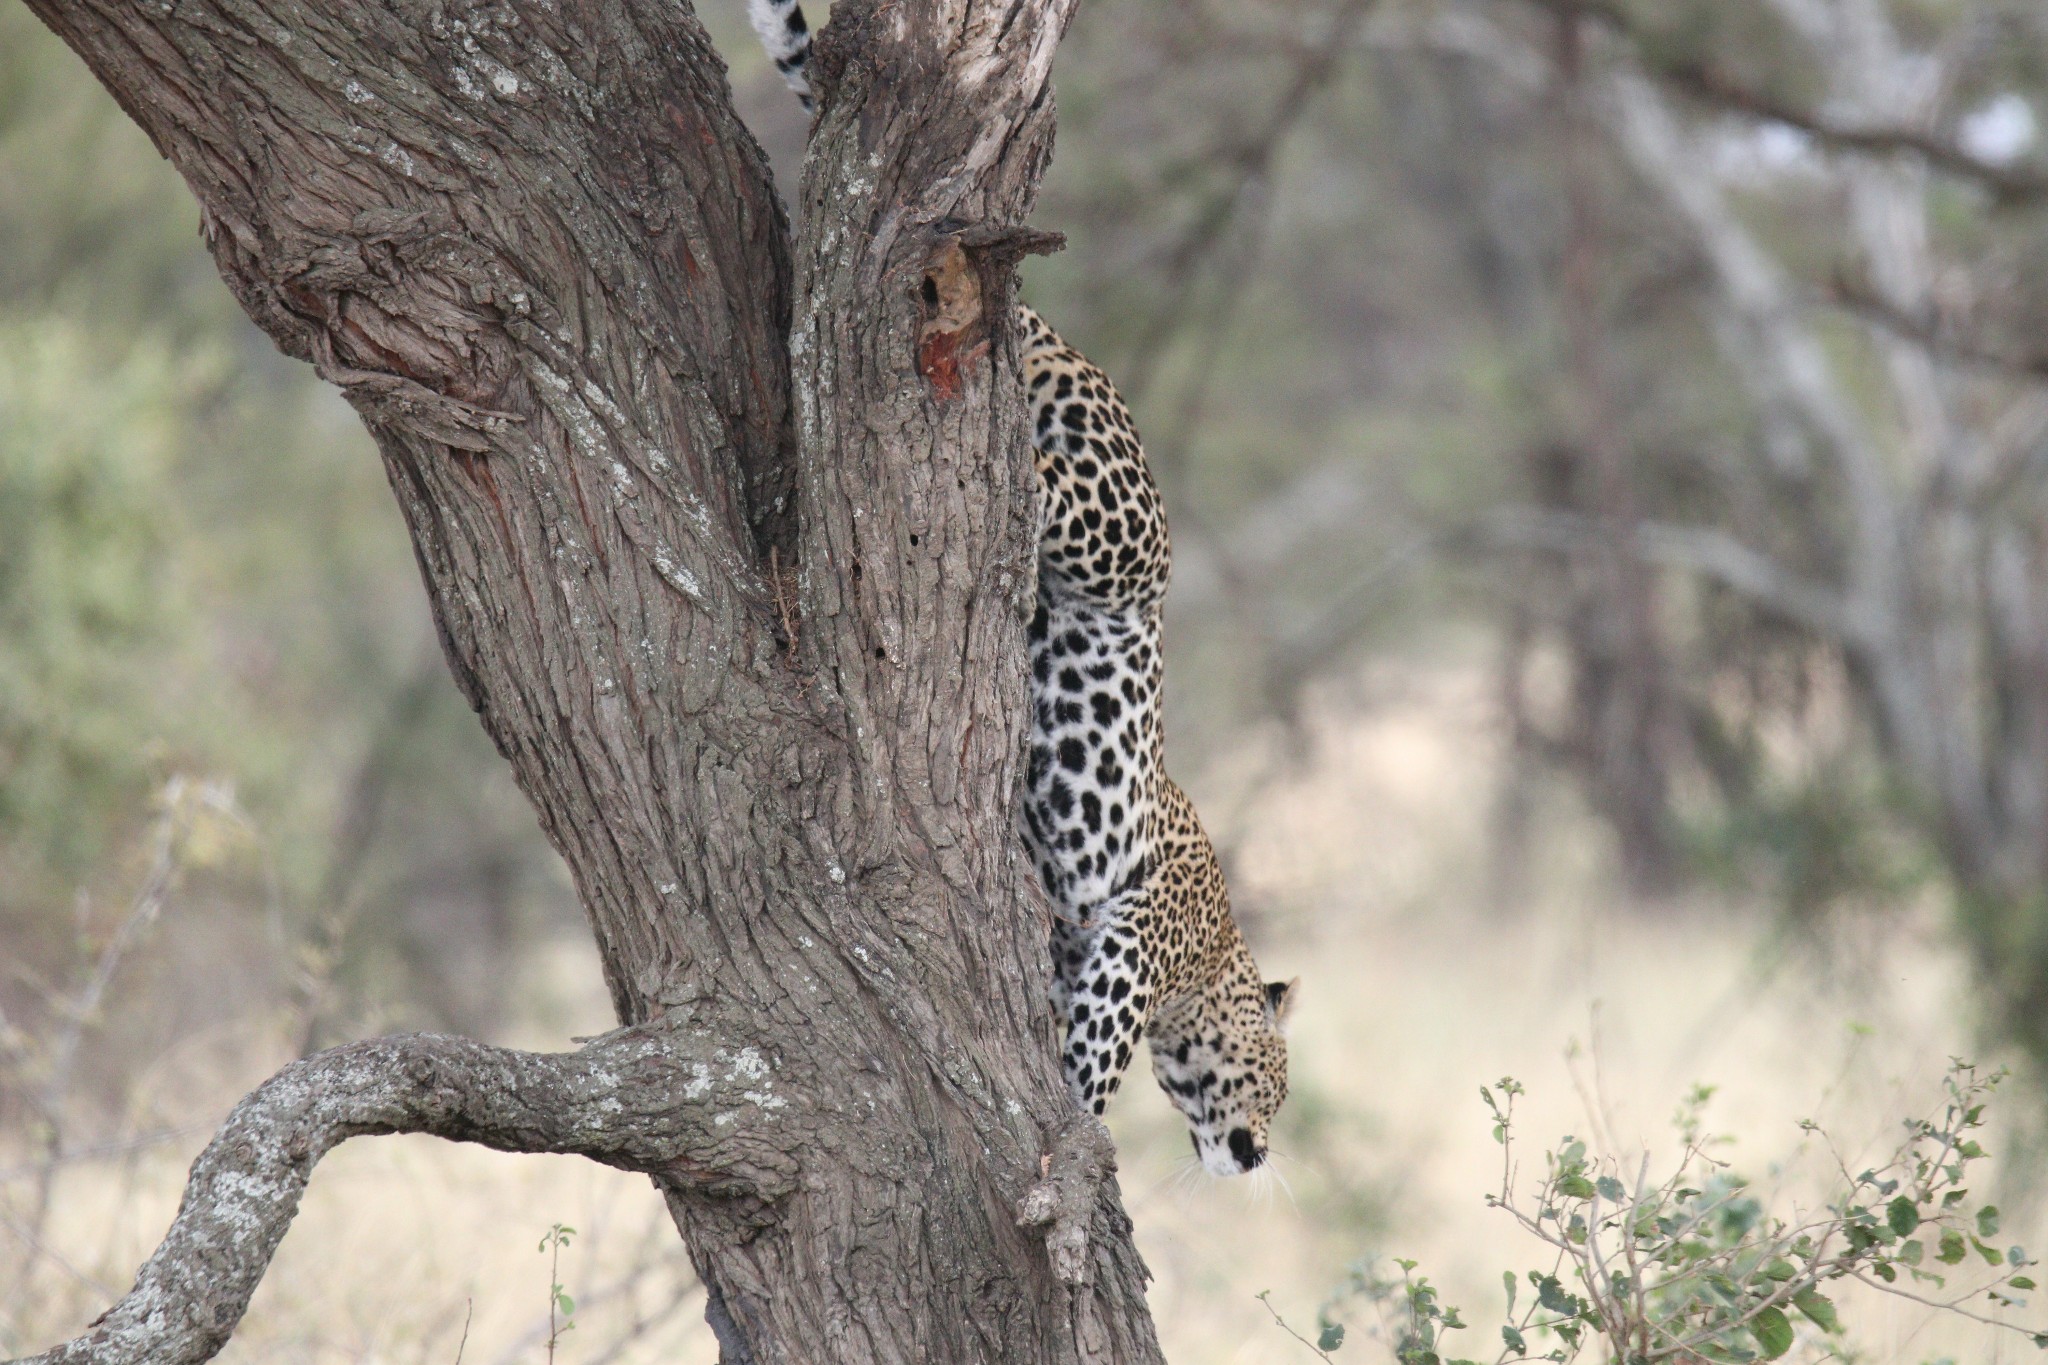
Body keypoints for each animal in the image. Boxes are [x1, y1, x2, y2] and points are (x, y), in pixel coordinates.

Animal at [749, 0, 1294, 1178]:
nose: (1259, 1154)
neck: (1216, 953)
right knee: (1045, 488)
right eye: (1279, 1079)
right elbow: (1095, 1052)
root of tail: (1054, 335)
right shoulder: (1133, 928)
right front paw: (1079, 1116)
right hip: (1125, 535)